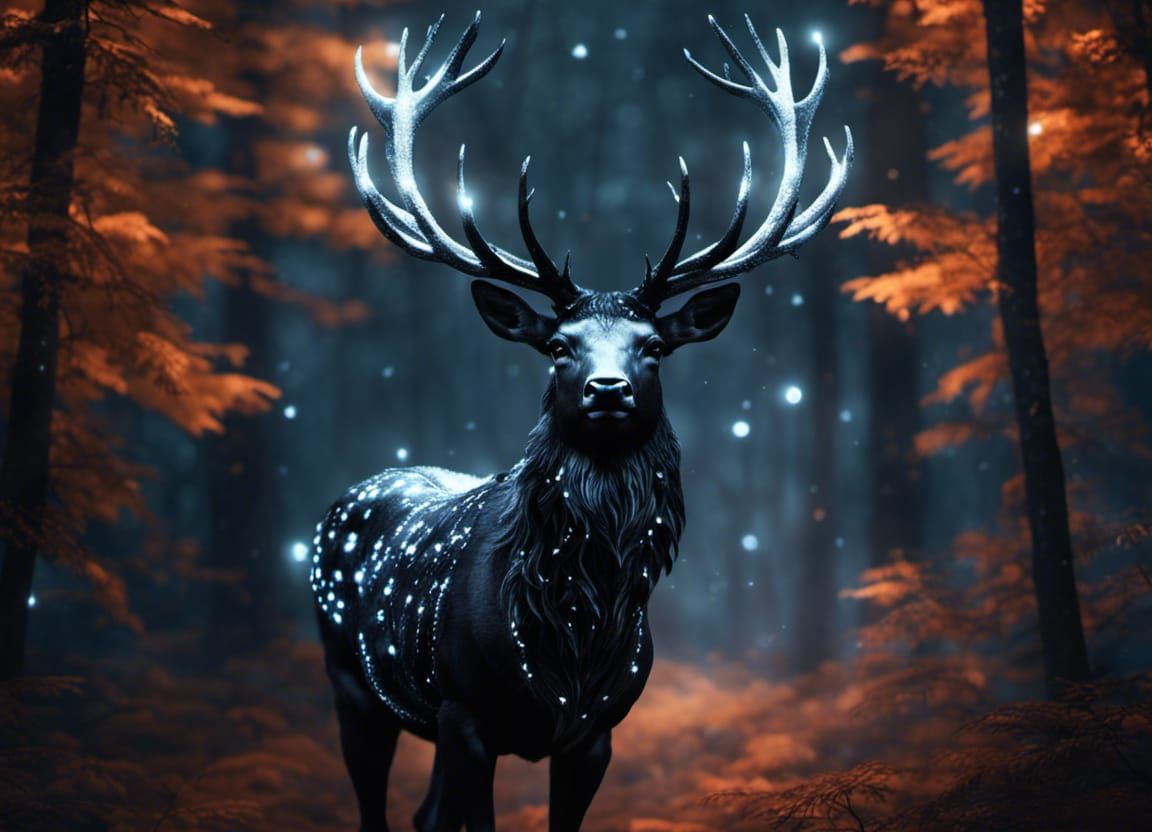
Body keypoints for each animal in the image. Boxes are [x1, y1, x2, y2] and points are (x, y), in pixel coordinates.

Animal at [312, 12, 851, 832]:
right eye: (559, 346)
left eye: (653, 346)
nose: (607, 389)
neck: (572, 635)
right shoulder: (467, 715)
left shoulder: (596, 732)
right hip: (353, 684)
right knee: (379, 805)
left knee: (423, 815)